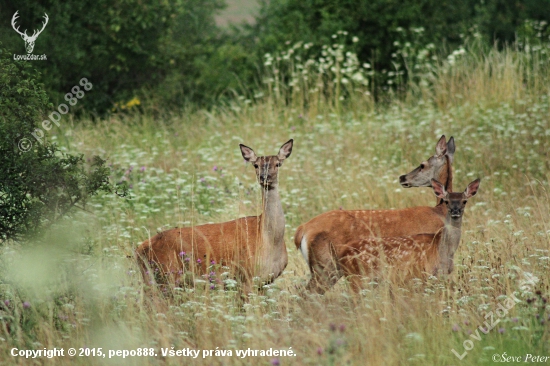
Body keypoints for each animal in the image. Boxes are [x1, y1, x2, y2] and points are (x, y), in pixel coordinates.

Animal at [136, 139, 296, 294]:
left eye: (277, 163)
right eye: (256, 165)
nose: (264, 177)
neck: (269, 240)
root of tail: (140, 249)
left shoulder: (267, 280)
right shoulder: (246, 276)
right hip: (167, 273)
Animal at [342, 179, 480, 290]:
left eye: (464, 201)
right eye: (446, 201)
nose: (455, 211)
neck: (442, 248)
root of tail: (343, 252)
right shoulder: (423, 272)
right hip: (357, 278)